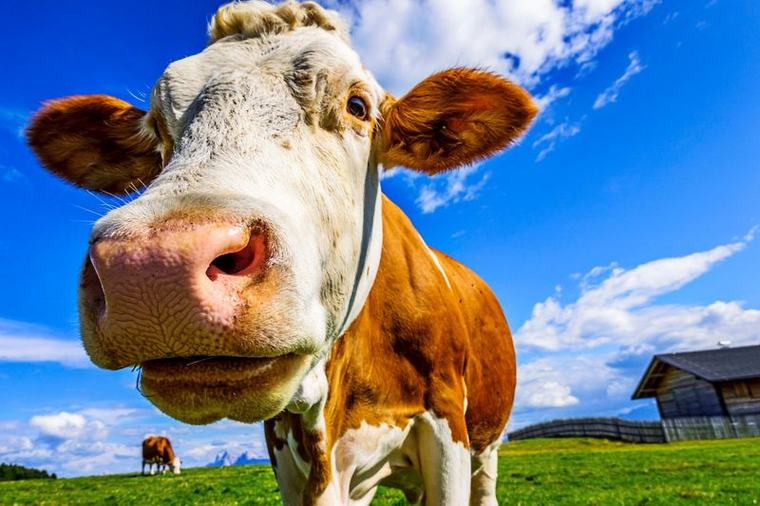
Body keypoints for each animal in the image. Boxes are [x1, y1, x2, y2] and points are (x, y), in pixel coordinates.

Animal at [26, 2, 536, 504]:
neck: (329, 405)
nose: (153, 268)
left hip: (486, 445)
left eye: (358, 106)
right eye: (157, 128)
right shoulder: (289, 453)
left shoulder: (446, 426)